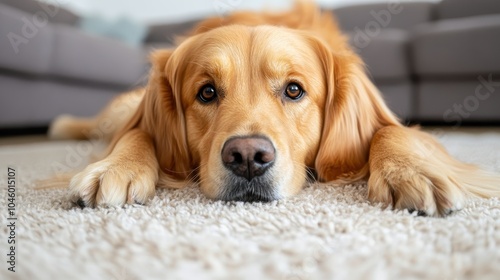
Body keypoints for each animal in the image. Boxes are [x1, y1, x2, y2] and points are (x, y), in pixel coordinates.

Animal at [47, 2, 500, 217]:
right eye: (207, 93)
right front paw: (116, 167)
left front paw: (412, 171)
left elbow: (391, 130)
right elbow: (137, 131)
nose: (247, 157)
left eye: (294, 90)